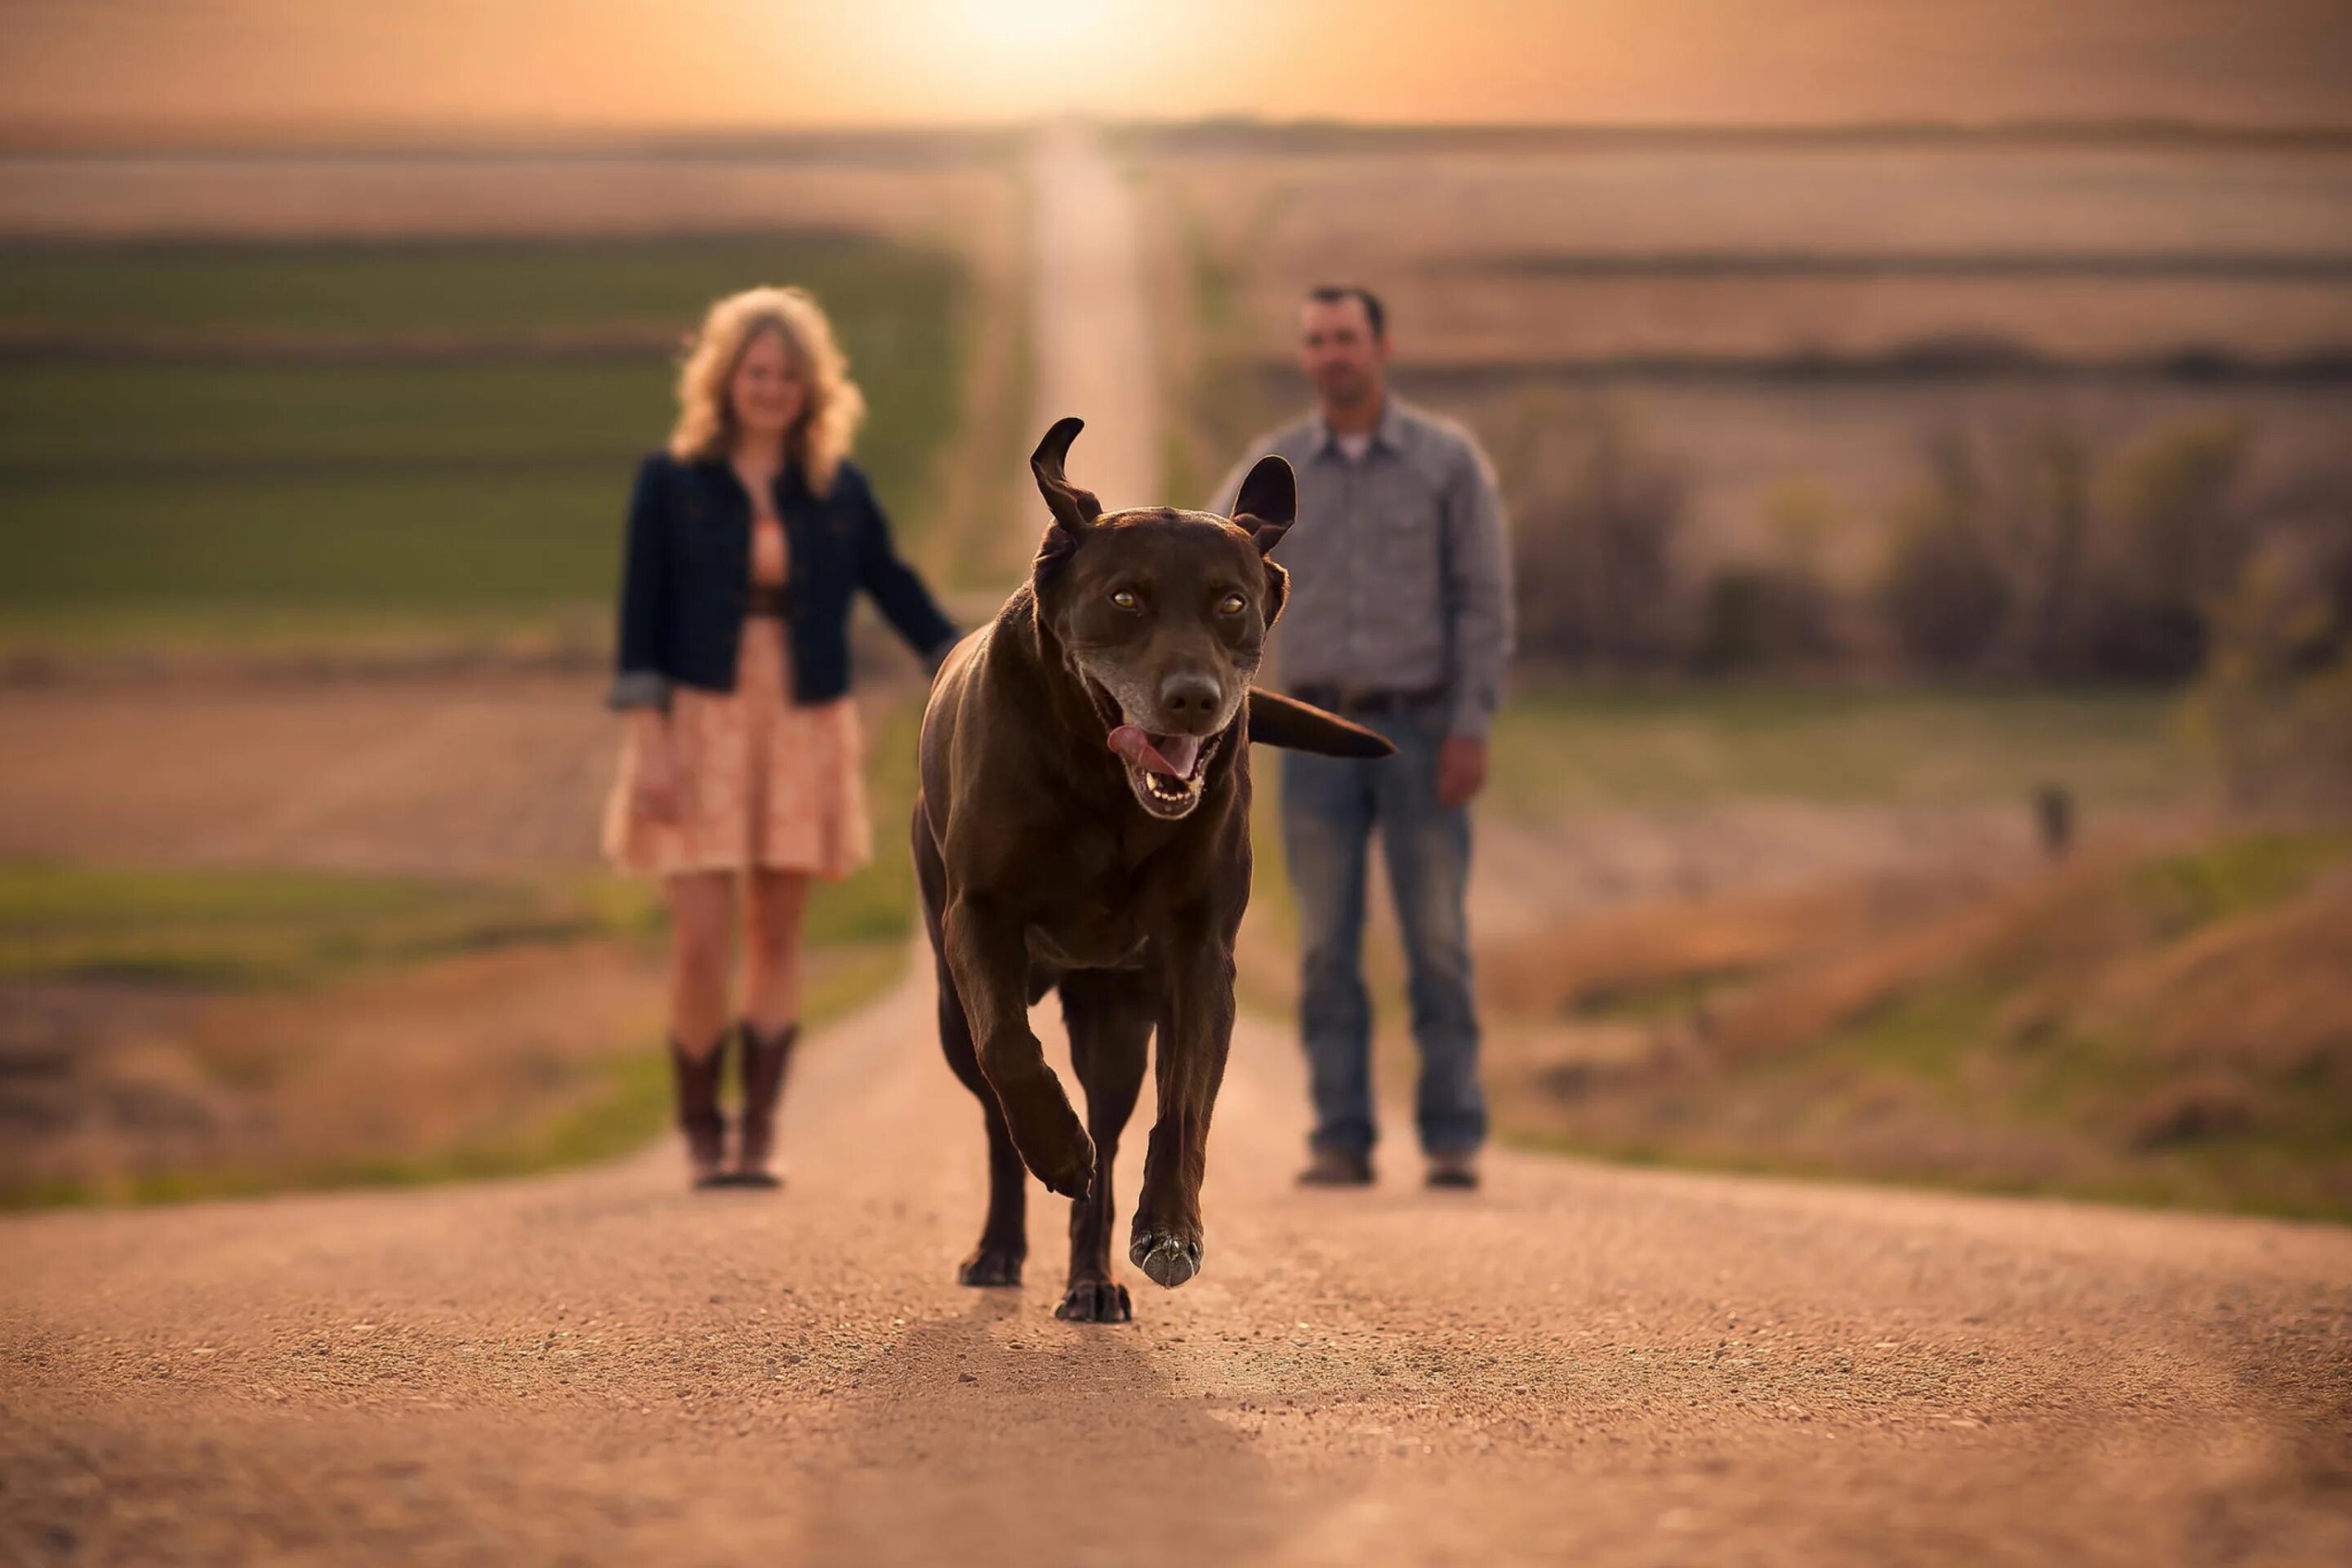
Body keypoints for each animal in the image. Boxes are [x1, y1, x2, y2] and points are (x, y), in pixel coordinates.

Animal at [912, 416, 1392, 1325]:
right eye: (1125, 598)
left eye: (1231, 603)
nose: (1194, 699)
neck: (1106, 790)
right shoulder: (980, 919)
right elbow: (1010, 1050)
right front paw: (1057, 1149)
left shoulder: (1198, 952)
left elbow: (1187, 1105)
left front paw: (1170, 1228)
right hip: (952, 1008)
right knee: (994, 1106)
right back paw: (1004, 1241)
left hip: (1116, 1018)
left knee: (1110, 1124)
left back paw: (1092, 1281)